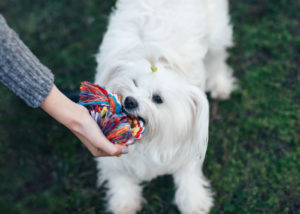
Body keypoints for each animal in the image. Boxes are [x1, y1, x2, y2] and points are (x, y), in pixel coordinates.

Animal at [94, 0, 234, 213]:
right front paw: (125, 203)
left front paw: (194, 202)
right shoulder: (111, 155)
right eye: (133, 82)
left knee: (217, 59)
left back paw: (220, 85)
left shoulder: (185, 141)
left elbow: (188, 176)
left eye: (158, 98)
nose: (130, 101)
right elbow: (120, 179)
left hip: (217, 33)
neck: (149, 139)